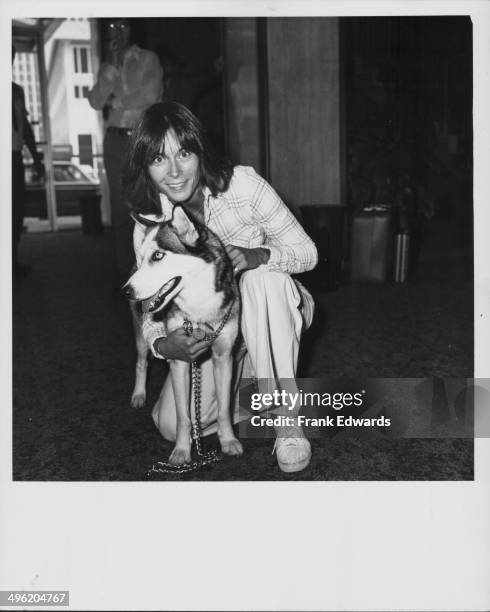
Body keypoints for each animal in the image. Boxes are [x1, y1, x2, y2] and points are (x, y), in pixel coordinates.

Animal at [124, 206, 243, 464]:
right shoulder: (180, 359)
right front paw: (181, 451)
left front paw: (228, 441)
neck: (199, 306)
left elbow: (224, 409)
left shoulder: (223, 357)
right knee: (141, 362)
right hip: (140, 335)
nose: (125, 290)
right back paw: (138, 394)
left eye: (158, 256)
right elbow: (182, 416)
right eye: (142, 258)